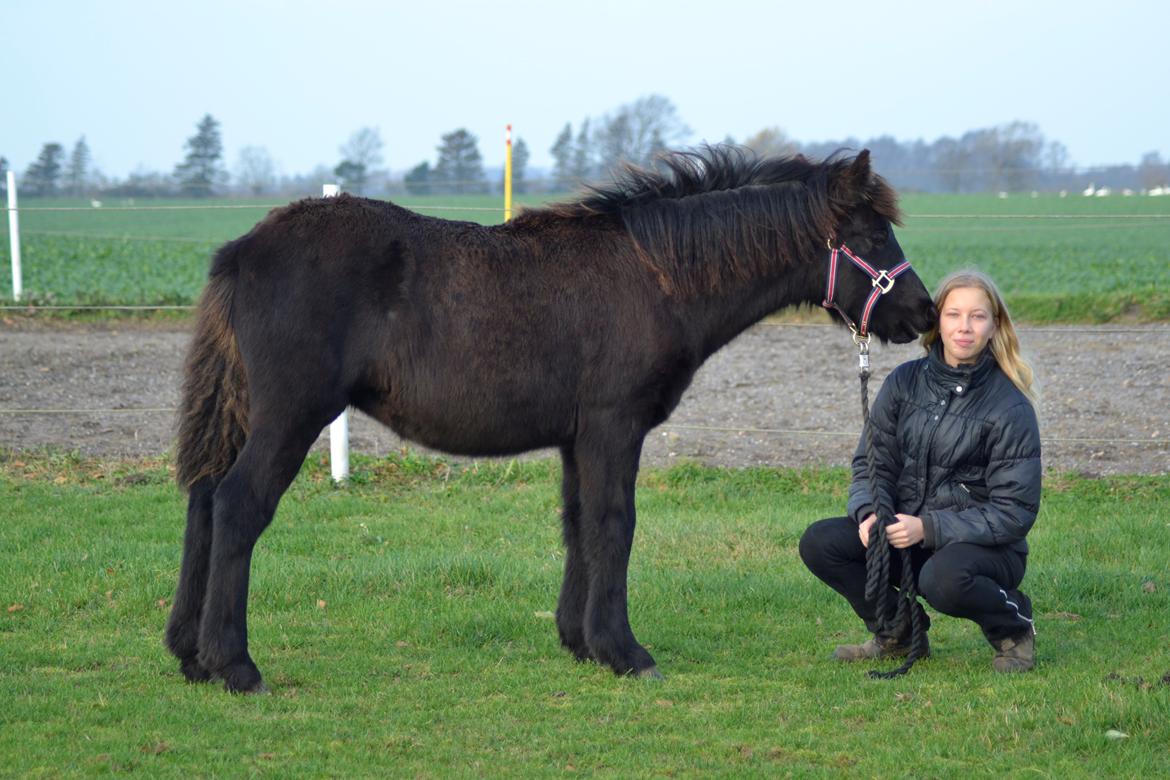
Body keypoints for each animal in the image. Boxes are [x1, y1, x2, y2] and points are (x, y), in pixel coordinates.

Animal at [164, 145, 935, 687]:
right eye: (872, 236)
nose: (924, 313)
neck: (656, 276)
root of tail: (242, 250)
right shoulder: (614, 427)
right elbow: (615, 524)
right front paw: (625, 651)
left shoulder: (577, 438)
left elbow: (578, 526)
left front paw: (579, 641)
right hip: (291, 416)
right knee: (237, 505)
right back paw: (236, 665)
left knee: (202, 501)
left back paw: (189, 655)